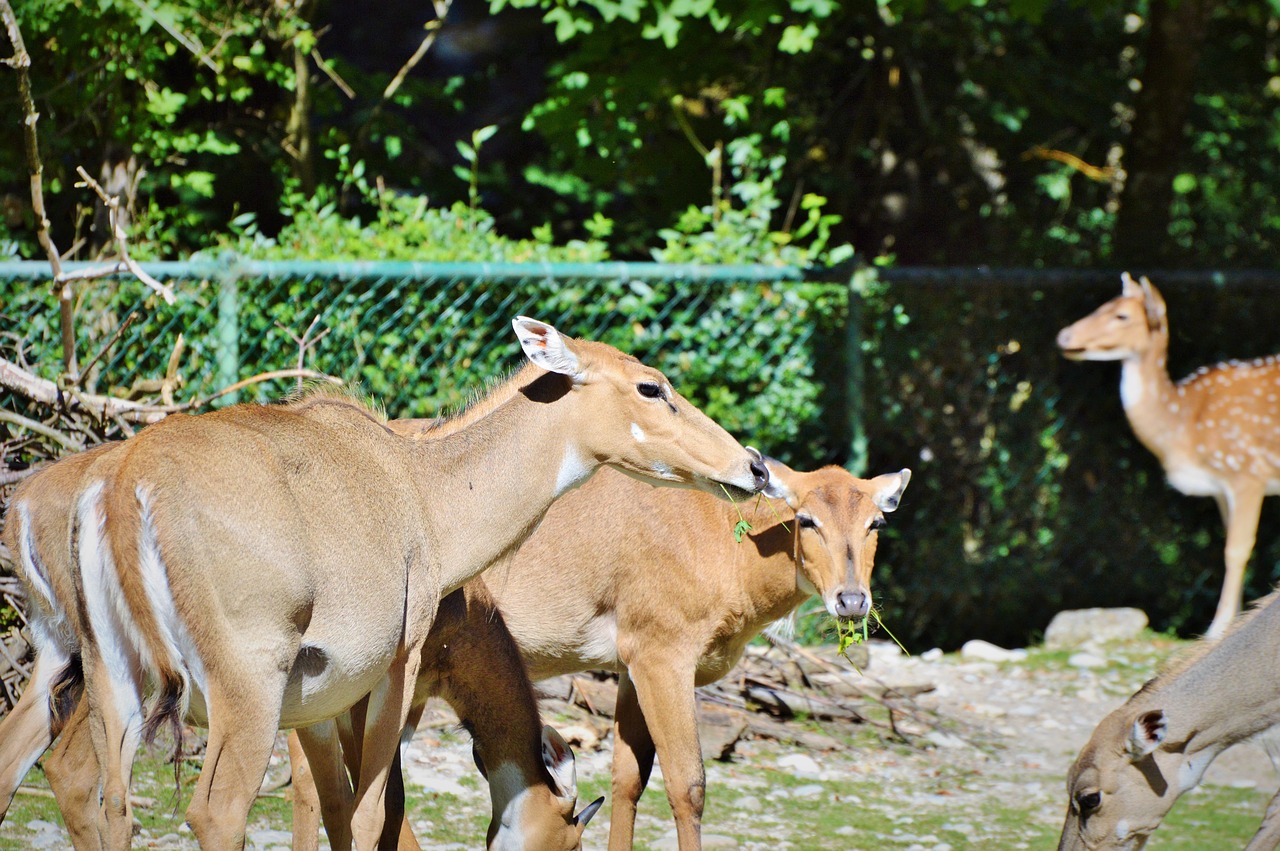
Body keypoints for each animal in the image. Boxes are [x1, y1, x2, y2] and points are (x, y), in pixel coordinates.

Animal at [65, 316, 769, 850]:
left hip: (115, 682)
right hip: (247, 690)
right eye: (651, 387)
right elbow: (373, 812)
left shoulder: (320, 703)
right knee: (216, 813)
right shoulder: (395, 669)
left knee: (106, 800)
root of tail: (128, 483)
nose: (755, 466)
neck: (423, 488)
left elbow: (340, 809)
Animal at [284, 456, 911, 851]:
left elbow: (631, 779)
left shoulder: (631, 667)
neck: (723, 544)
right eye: (807, 518)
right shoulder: (664, 658)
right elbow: (688, 785)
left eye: (876, 521)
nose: (851, 600)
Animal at [1057, 272, 1280, 639]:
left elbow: (1236, 549)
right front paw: (1231, 622)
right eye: (1103, 304)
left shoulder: (1246, 470)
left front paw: (1216, 629)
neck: (1182, 427)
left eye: (1122, 315)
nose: (1064, 336)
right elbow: (1232, 546)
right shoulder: (1220, 488)